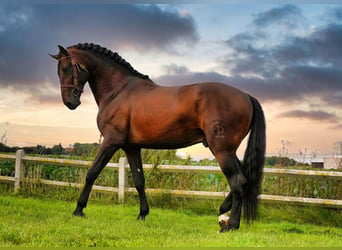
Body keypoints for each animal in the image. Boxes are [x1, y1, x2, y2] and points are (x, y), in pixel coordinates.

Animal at [50, 43, 264, 232]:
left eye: (67, 67)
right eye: (59, 70)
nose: (70, 102)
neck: (119, 91)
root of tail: (246, 96)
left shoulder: (111, 142)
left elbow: (92, 173)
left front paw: (78, 210)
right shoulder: (131, 147)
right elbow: (139, 180)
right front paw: (142, 214)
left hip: (222, 150)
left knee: (238, 181)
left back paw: (231, 225)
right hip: (225, 150)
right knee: (244, 179)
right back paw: (224, 211)